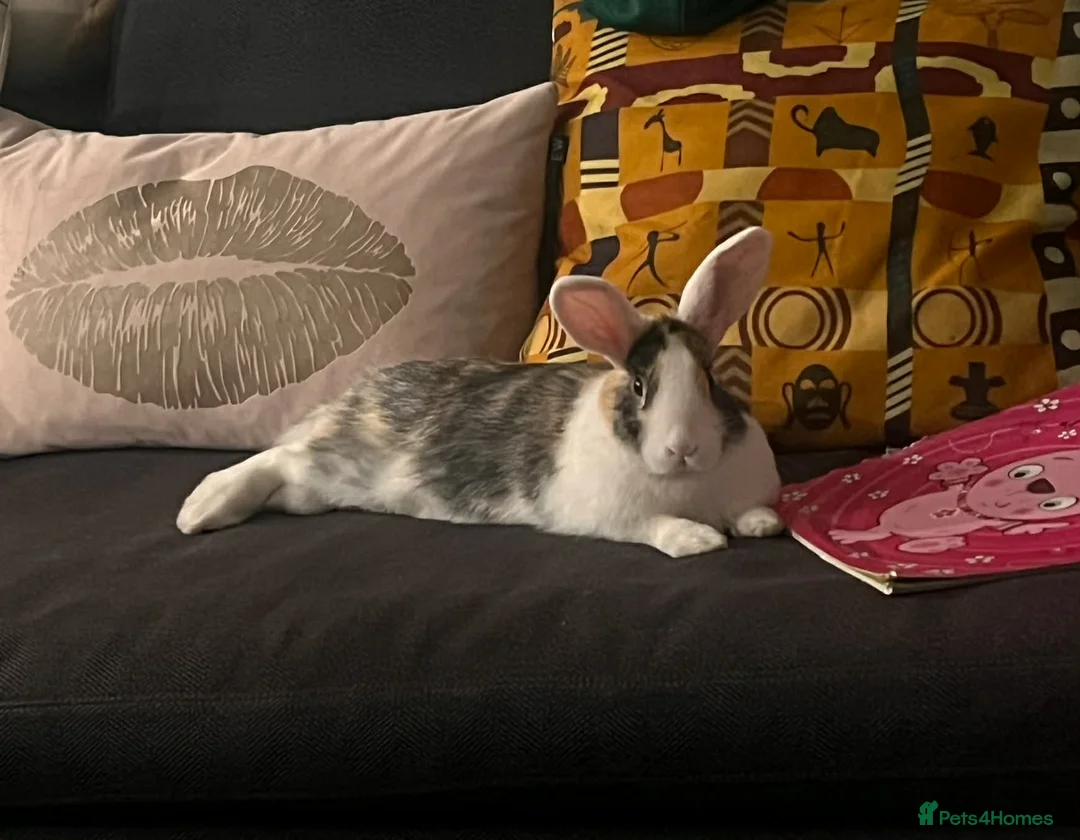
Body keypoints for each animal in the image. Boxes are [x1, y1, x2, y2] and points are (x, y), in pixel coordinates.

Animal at [176, 226, 785, 558]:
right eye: (639, 385)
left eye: (710, 378)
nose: (684, 448)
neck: (686, 483)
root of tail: (353, 398)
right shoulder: (613, 517)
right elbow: (657, 527)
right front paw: (700, 540)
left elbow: (745, 510)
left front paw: (762, 524)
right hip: (333, 457)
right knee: (277, 457)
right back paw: (199, 511)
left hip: (318, 488)